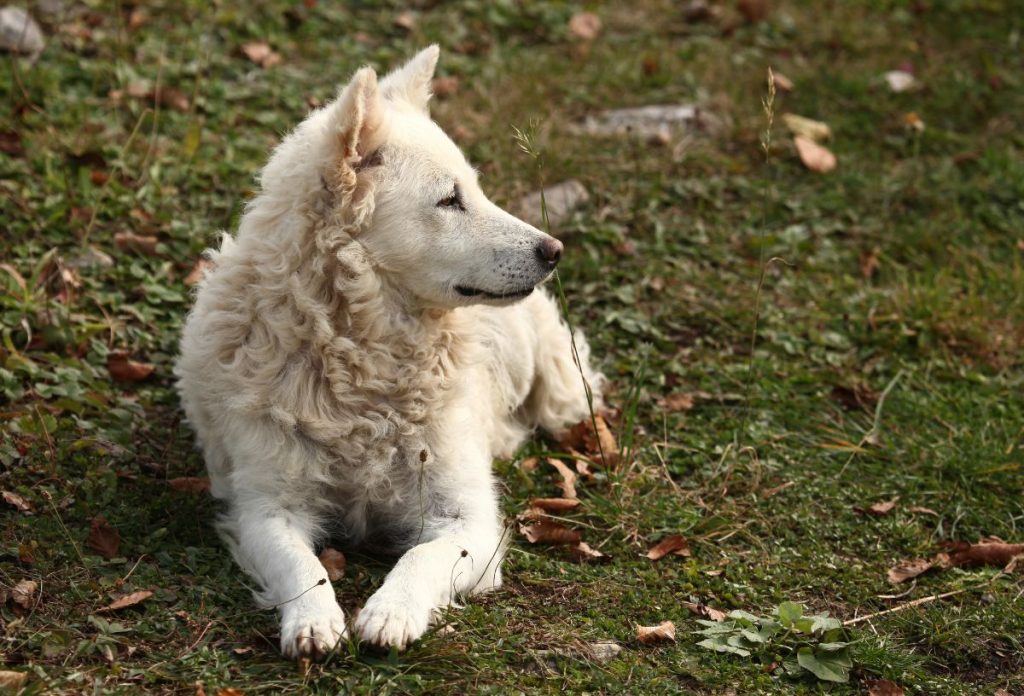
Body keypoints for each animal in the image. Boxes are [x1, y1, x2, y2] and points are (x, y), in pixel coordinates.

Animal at [178, 44, 598, 659]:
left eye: (476, 190)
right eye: (449, 200)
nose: (554, 250)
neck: (362, 363)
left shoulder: (466, 517)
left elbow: (421, 556)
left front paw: (390, 612)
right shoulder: (266, 508)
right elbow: (301, 566)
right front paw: (313, 621)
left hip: (559, 391)